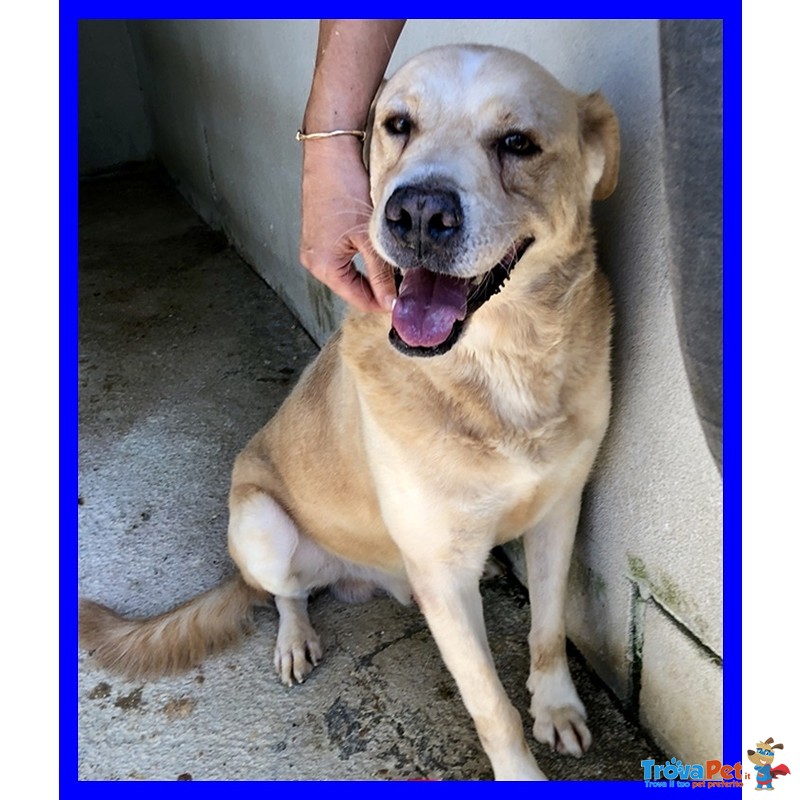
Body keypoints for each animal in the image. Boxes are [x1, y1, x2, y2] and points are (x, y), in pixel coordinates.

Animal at [79, 45, 620, 780]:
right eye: (398, 125)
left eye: (517, 143)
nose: (417, 213)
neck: (499, 370)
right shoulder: (443, 578)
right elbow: (490, 705)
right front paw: (521, 768)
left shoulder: (558, 512)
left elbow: (549, 629)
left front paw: (556, 706)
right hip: (263, 527)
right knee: (285, 594)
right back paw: (294, 638)